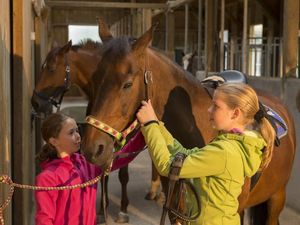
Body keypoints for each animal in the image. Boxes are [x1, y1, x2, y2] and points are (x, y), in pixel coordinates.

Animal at [29, 20, 140, 222]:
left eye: (51, 68)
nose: (36, 102)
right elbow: (103, 170)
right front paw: (102, 210)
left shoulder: (122, 138)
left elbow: (122, 174)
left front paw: (122, 209)